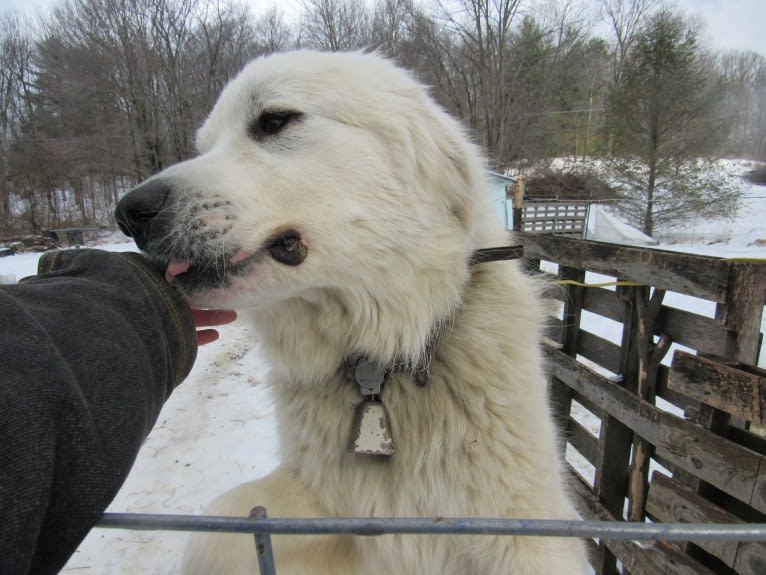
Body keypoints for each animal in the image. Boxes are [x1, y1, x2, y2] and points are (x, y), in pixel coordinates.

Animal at [117, 50, 592, 575]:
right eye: (205, 146)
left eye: (274, 120)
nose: (129, 212)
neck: (387, 349)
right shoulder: (329, 501)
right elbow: (220, 533)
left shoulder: (528, 532)